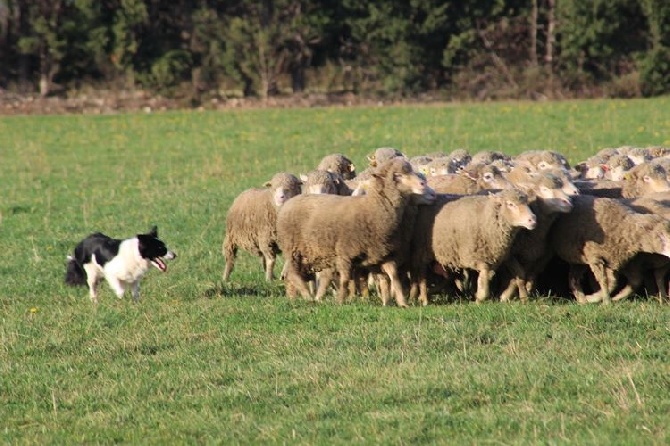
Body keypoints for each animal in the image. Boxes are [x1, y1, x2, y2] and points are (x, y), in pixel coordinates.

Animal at [276, 158, 436, 306]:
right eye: (397, 175)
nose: (423, 185)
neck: (372, 209)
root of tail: (290, 202)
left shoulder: (383, 253)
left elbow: (394, 277)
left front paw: (402, 303)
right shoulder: (344, 253)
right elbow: (345, 279)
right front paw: (341, 300)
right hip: (292, 248)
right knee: (293, 273)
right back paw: (307, 295)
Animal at [410, 188, 540, 304]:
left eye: (527, 203)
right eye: (510, 204)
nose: (533, 219)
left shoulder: (505, 256)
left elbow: (520, 275)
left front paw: (523, 298)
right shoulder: (476, 257)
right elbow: (484, 283)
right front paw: (479, 299)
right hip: (422, 249)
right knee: (422, 274)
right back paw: (424, 299)